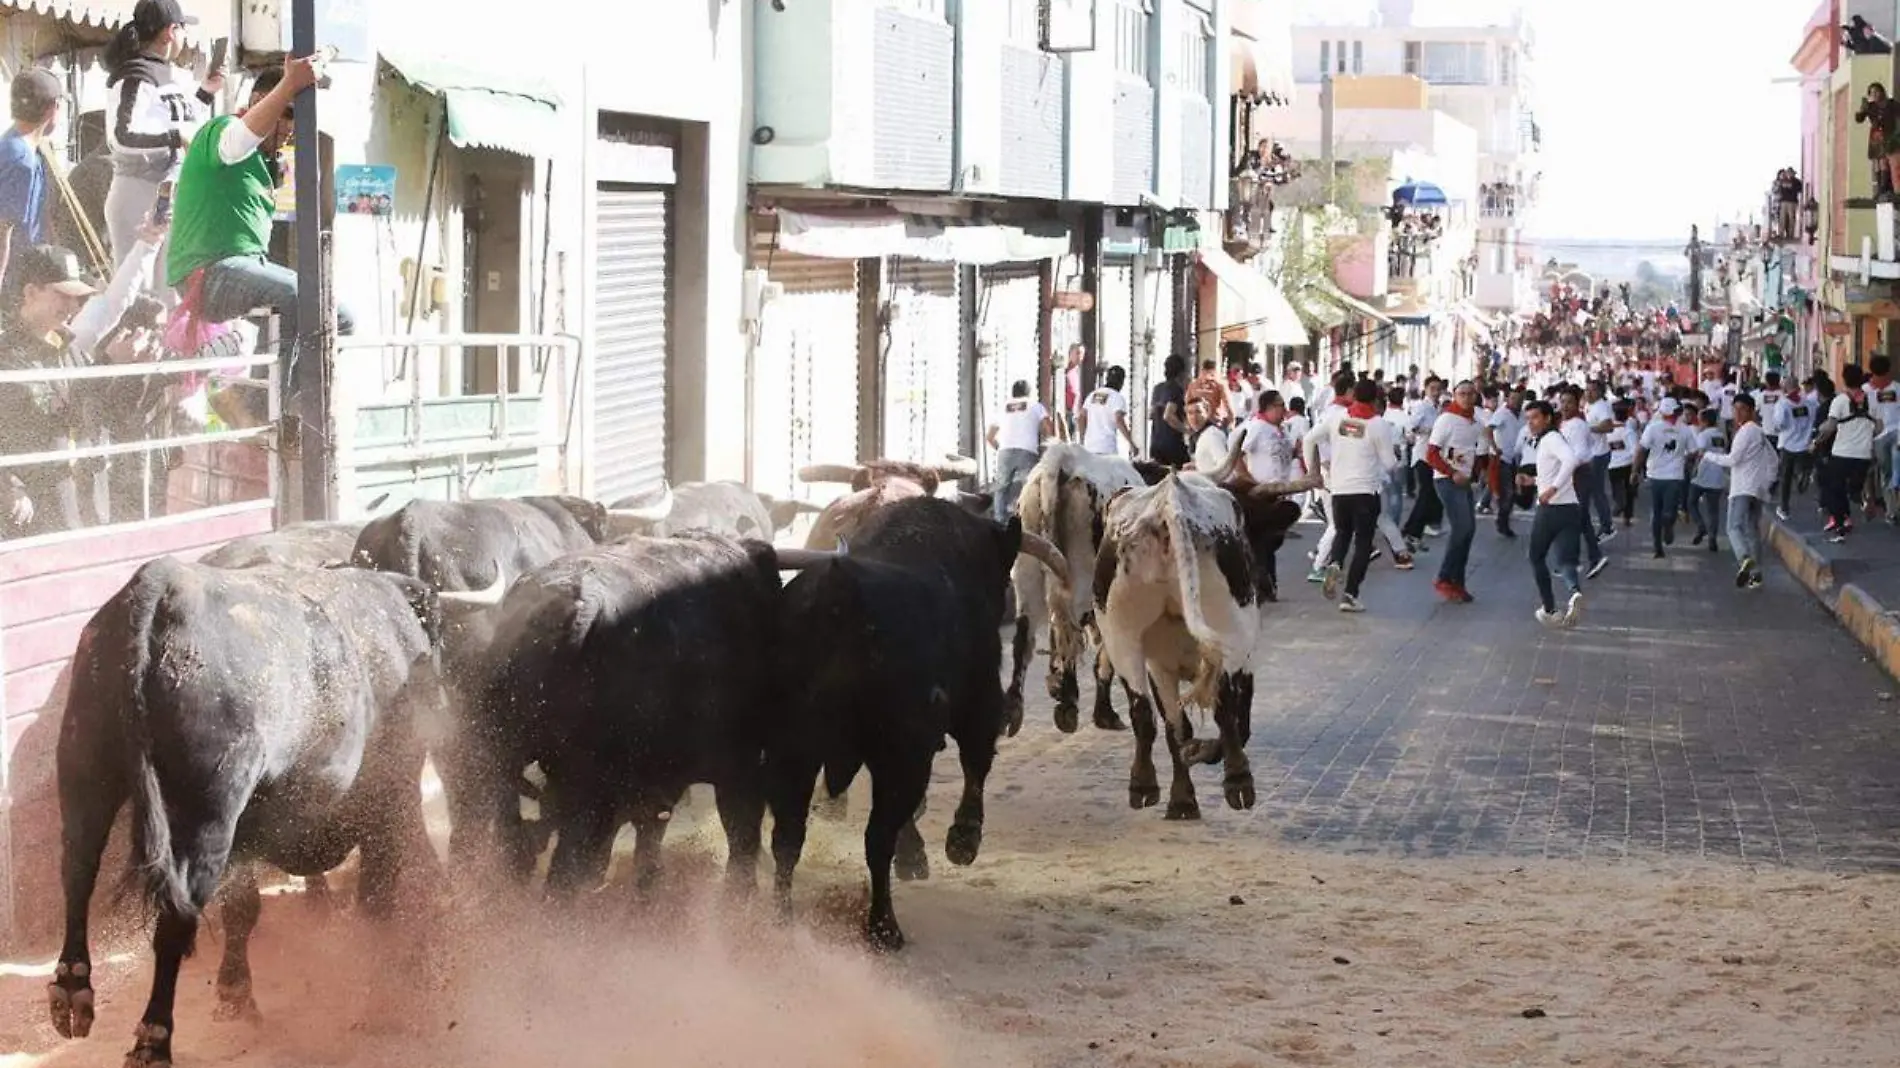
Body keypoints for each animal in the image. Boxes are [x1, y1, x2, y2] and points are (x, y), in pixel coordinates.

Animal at [1102, 469, 1307, 817]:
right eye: (1268, 537)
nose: (1266, 586)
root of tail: (1167, 502)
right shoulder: (1245, 657)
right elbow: (1239, 720)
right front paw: (1201, 756)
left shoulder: (1159, 666)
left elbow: (1175, 727)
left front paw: (1182, 796)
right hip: (1229, 627)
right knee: (1225, 707)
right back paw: (1238, 781)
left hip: (1120, 634)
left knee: (1143, 713)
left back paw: (1144, 785)